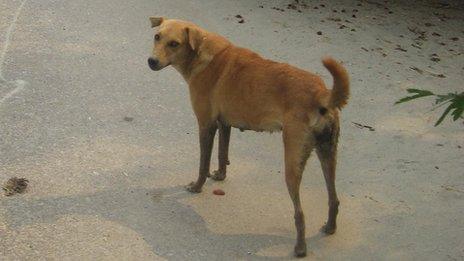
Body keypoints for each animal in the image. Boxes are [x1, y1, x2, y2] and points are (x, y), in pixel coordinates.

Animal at [148, 16, 348, 256]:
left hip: (292, 163)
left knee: (300, 213)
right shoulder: (224, 124)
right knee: (334, 198)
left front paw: (197, 187)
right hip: (328, 154)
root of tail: (321, 94)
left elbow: (203, 164)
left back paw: (300, 248)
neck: (202, 53)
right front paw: (220, 175)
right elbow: (222, 154)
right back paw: (330, 227)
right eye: (157, 36)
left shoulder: (206, 125)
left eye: (174, 44)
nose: (151, 61)